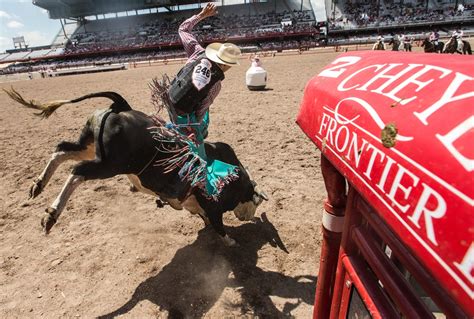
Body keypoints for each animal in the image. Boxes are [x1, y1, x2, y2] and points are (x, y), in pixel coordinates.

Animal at [5, 89, 268, 246]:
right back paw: (51, 213)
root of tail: (122, 106)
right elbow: (217, 223)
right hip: (109, 164)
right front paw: (231, 241)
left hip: (90, 146)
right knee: (77, 172)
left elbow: (206, 218)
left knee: (61, 151)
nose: (250, 218)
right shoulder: (211, 203)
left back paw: (38, 185)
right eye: (255, 202)